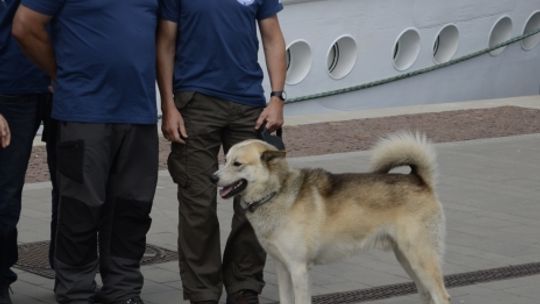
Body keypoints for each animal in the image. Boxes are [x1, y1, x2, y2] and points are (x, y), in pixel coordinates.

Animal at [211, 131, 452, 304]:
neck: (276, 192)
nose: (212, 177)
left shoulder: (299, 269)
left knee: (441, 296)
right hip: (406, 258)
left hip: (421, 258)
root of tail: (420, 180)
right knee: (426, 294)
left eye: (237, 164)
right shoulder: (282, 267)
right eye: (226, 159)